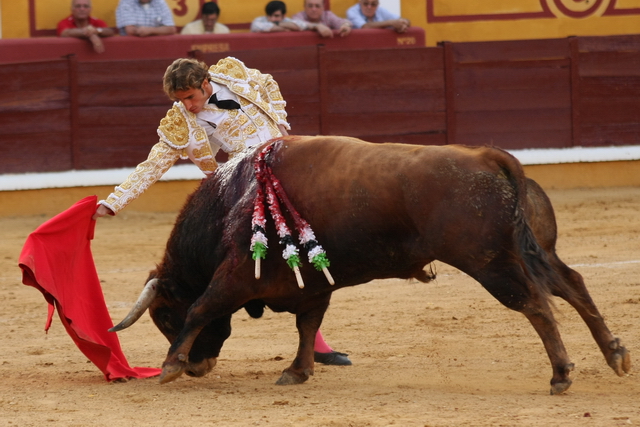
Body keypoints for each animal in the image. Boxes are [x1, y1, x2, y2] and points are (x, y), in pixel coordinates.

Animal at [110, 136, 632, 394]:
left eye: (165, 317)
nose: (200, 368)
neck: (234, 198)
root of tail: (490, 156)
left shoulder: (236, 275)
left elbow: (204, 307)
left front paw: (170, 365)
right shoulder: (312, 286)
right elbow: (307, 326)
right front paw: (298, 372)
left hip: (490, 262)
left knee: (536, 305)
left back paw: (562, 374)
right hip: (535, 251)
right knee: (573, 285)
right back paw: (615, 355)